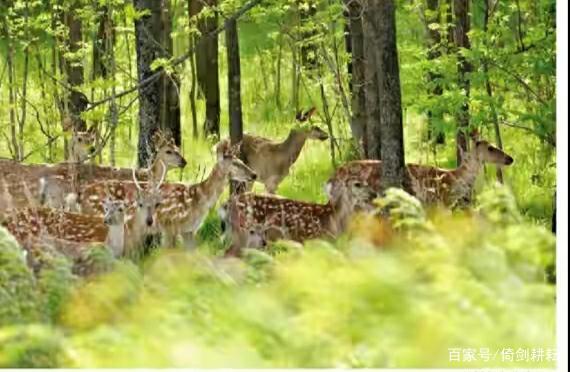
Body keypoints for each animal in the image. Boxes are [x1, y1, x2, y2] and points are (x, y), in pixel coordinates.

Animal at [223, 177, 378, 253]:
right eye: (357, 184)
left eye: (367, 182)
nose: (374, 193)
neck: (332, 218)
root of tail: (229, 203)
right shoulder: (316, 240)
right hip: (243, 232)